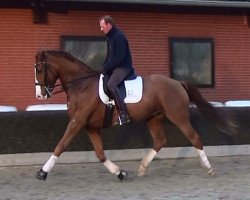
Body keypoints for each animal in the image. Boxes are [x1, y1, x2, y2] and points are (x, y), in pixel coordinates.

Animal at [34, 50, 236, 181]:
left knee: (194, 137)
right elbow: (100, 154)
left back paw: (209, 169)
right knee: (160, 141)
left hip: (178, 116)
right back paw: (142, 167)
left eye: (39, 69)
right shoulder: (91, 127)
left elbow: (61, 145)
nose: (40, 95)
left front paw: (43, 172)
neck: (81, 85)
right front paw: (120, 173)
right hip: (154, 118)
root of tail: (177, 82)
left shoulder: (77, 122)